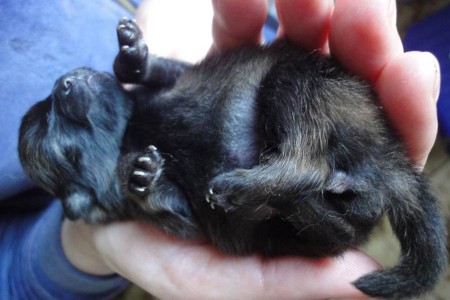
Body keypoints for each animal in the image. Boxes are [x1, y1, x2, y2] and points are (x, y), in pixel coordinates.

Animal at [18, 19, 446, 300]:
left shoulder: (172, 80)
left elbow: (155, 71)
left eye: (51, 103)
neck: (132, 130)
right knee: (314, 182)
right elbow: (170, 208)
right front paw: (139, 176)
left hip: (297, 83)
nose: (63, 82)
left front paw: (130, 53)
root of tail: (386, 158)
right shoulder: (169, 218)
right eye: (63, 148)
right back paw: (250, 190)